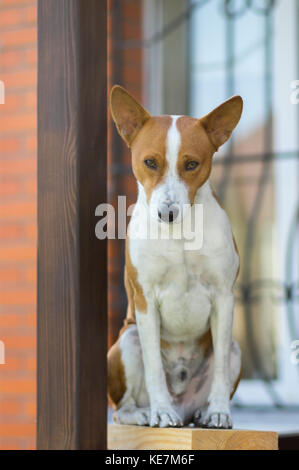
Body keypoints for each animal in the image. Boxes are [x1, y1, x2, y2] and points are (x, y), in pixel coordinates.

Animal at [108, 85, 244, 430]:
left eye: (192, 164)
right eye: (150, 162)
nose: (167, 214)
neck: (180, 235)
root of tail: (184, 408)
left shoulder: (223, 297)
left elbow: (220, 368)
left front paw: (219, 411)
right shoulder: (145, 299)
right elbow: (154, 365)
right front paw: (160, 412)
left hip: (235, 350)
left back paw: (203, 413)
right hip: (127, 340)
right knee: (120, 410)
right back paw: (145, 413)